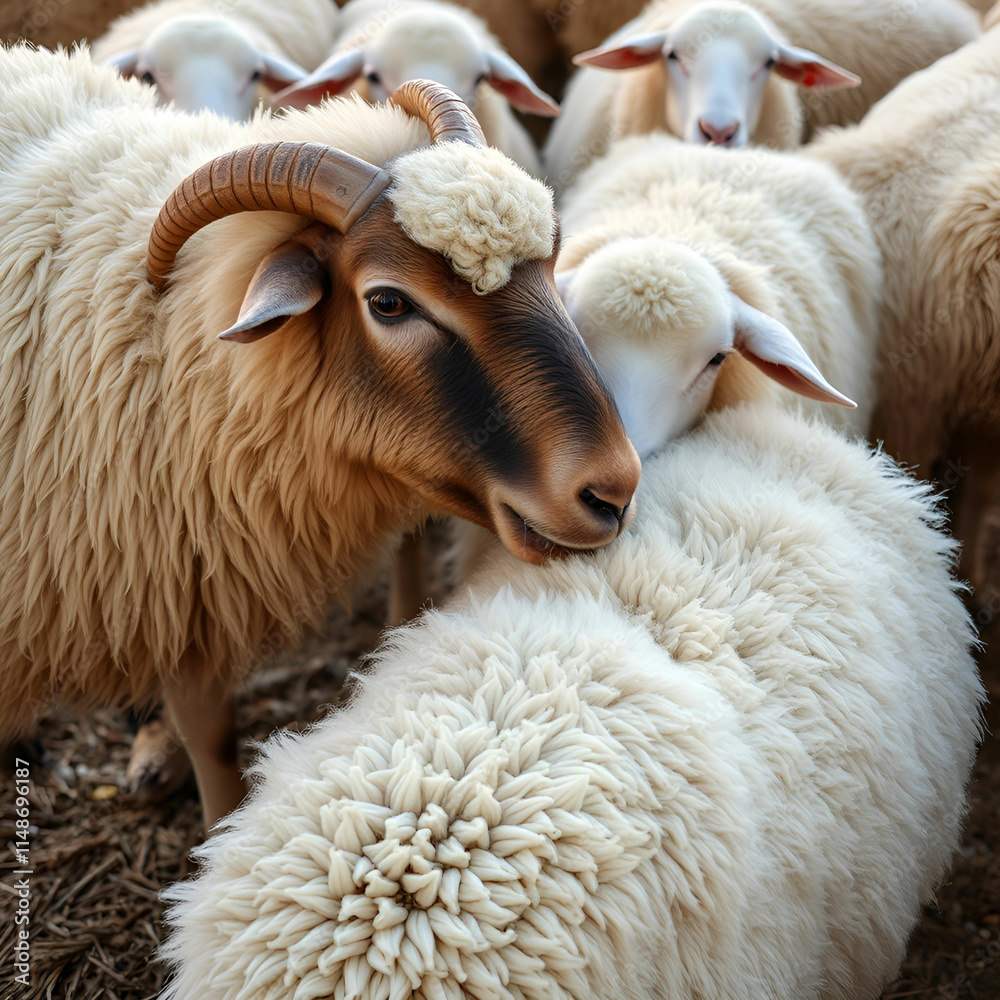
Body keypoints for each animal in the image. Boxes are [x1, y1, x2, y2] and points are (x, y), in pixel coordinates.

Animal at [0, 45, 641, 829]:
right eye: (389, 302)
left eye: (552, 259)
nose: (613, 488)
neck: (180, 336)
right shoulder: (168, 577)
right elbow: (211, 735)